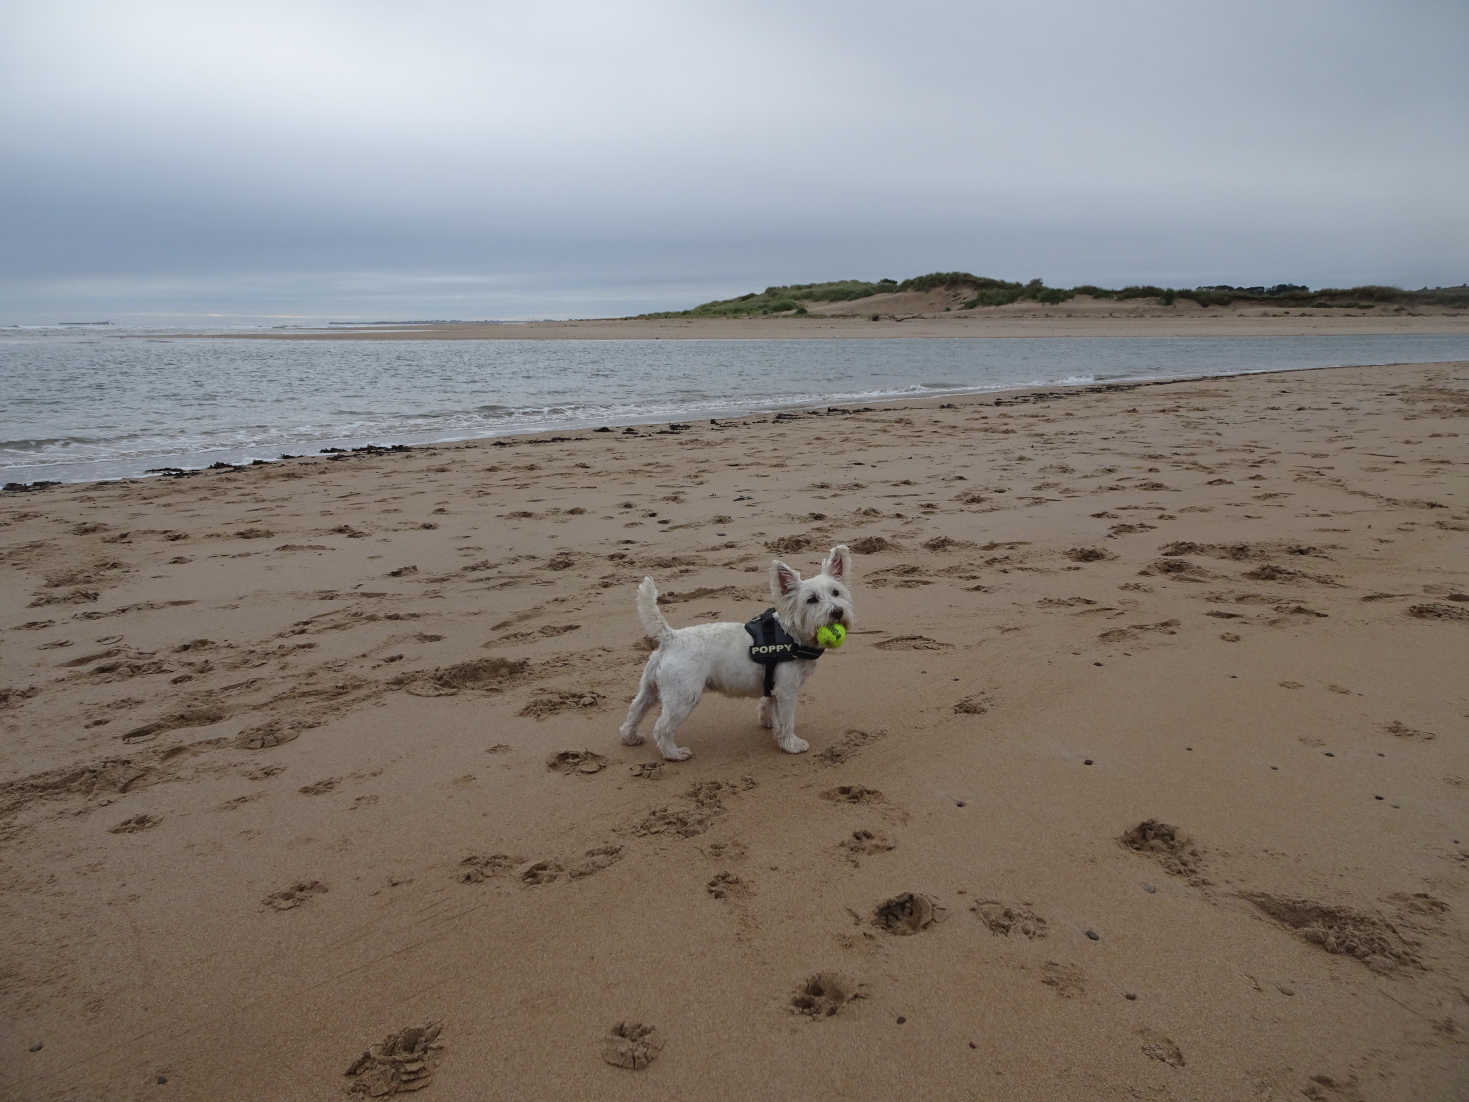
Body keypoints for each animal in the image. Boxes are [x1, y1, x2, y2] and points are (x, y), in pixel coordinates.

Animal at [616, 549, 852, 764]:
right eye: (811, 600)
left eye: (836, 592)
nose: (837, 612)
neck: (791, 634)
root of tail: (671, 637)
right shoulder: (786, 690)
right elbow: (786, 720)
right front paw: (791, 744)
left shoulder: (772, 685)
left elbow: (768, 705)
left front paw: (768, 724)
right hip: (683, 696)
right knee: (661, 727)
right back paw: (673, 753)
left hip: (651, 688)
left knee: (636, 709)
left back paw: (630, 737)